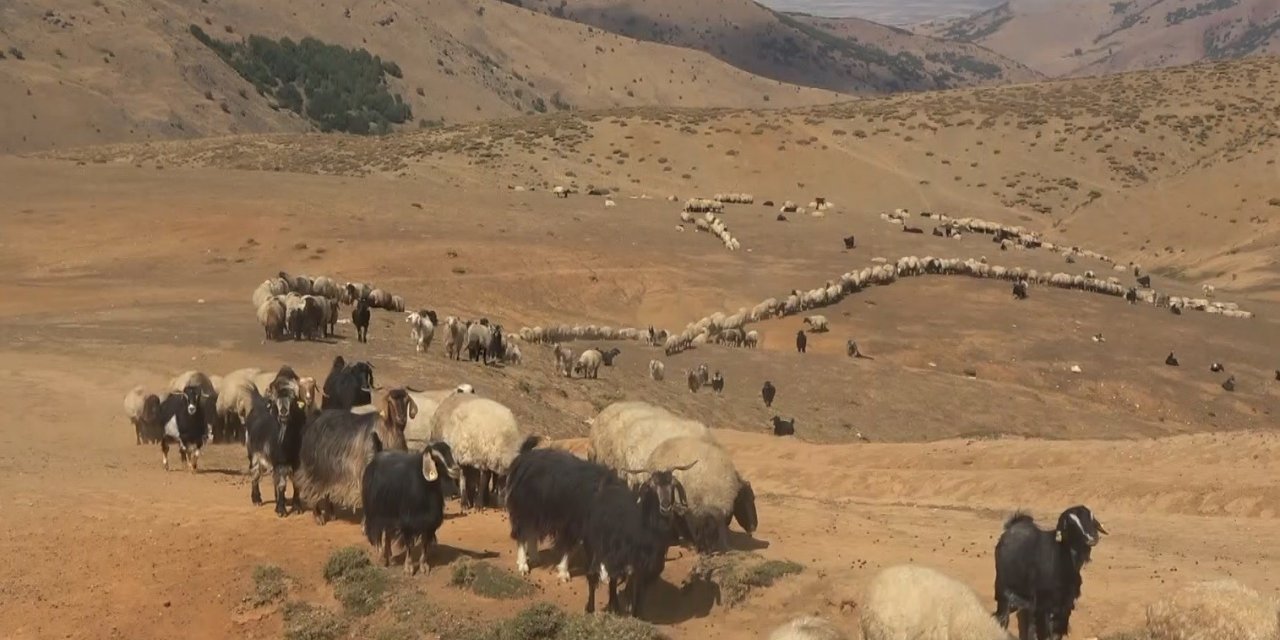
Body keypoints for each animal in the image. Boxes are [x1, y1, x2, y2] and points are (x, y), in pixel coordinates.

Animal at [360, 440, 460, 576]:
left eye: (450, 451)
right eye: (436, 458)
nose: (455, 469)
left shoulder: (428, 524)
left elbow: (424, 545)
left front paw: (424, 566)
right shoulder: (408, 522)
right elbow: (408, 546)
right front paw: (409, 568)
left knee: (388, 533)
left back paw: (388, 556)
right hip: (375, 512)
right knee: (379, 533)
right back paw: (383, 559)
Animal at [993, 504, 1105, 640]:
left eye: (1091, 518)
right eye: (1071, 524)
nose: (1092, 538)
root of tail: (1013, 525)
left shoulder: (1064, 607)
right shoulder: (1044, 606)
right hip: (1003, 592)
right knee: (1003, 618)